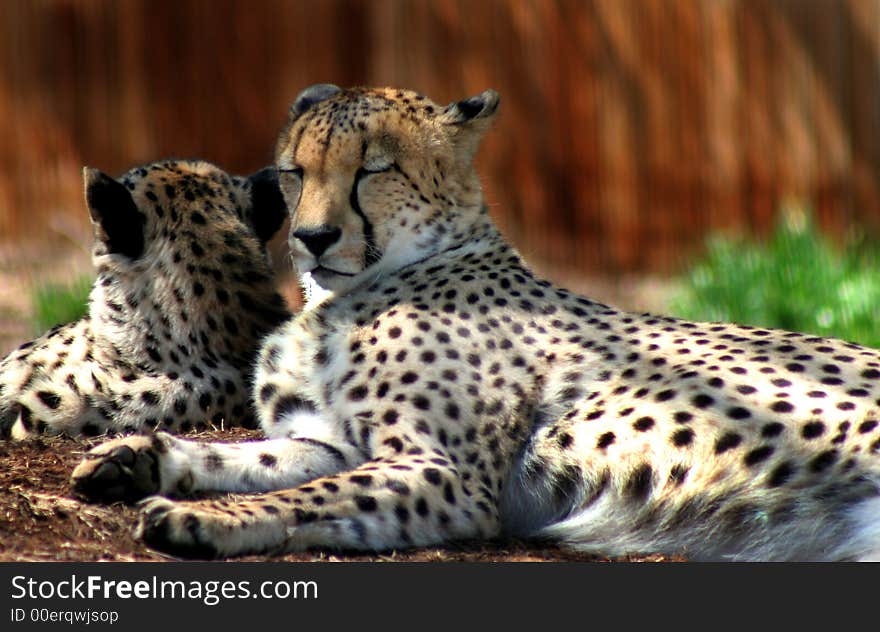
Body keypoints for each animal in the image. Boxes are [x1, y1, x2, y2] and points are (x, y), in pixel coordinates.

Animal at [72, 85, 880, 564]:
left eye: (373, 170)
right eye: (297, 172)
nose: (312, 238)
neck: (340, 299)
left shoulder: (445, 473)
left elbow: (301, 497)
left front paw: (209, 520)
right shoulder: (332, 440)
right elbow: (253, 457)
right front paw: (136, 457)